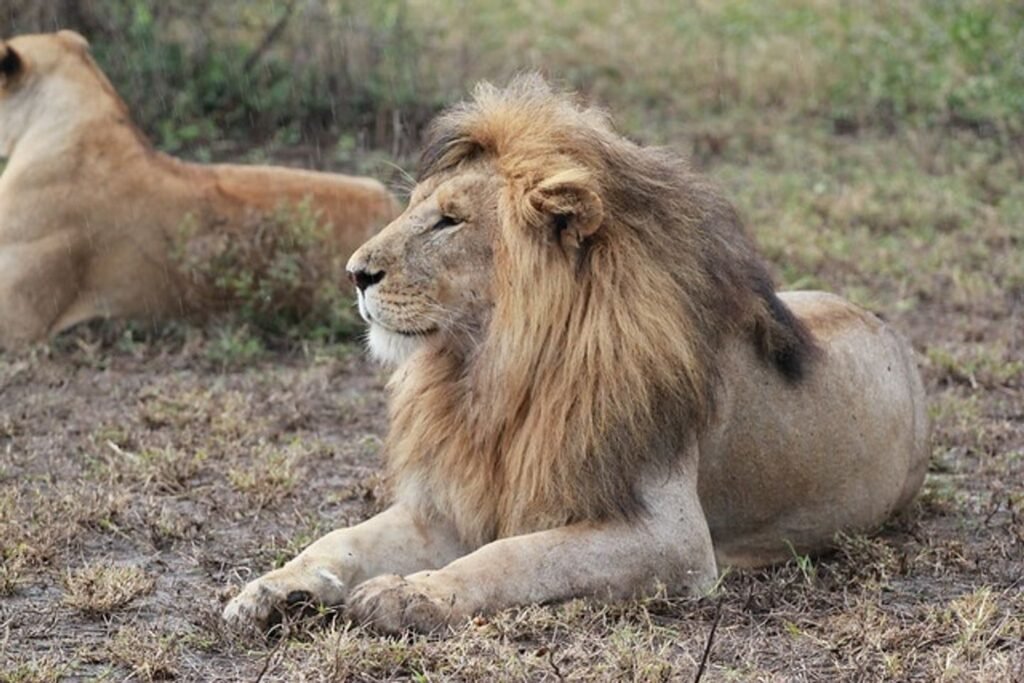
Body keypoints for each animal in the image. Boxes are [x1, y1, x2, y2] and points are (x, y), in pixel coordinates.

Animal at [223, 75, 929, 634]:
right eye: (417, 209)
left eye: (449, 221)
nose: (354, 273)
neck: (491, 373)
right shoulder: (451, 507)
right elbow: (341, 538)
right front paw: (273, 588)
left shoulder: (673, 539)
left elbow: (515, 556)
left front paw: (412, 595)